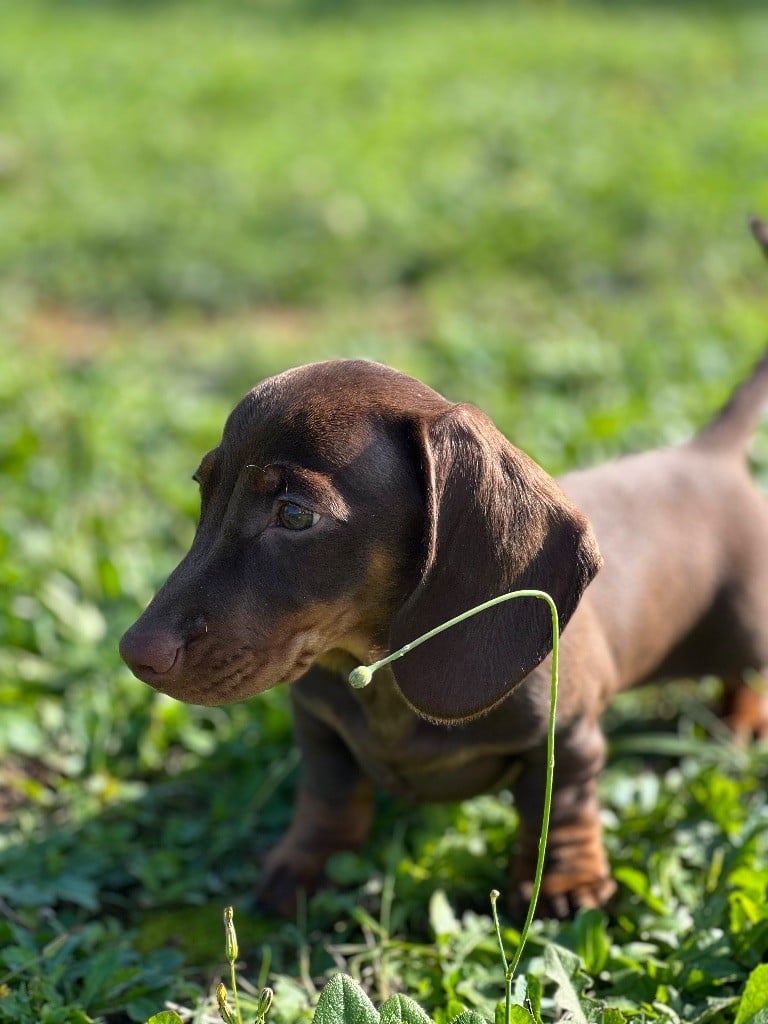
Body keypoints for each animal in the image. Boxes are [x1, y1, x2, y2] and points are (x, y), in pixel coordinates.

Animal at [118, 356, 768, 917]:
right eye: (203, 488)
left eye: (296, 514)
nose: (134, 653)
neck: (375, 672)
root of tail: (706, 454)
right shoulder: (317, 723)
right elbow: (329, 794)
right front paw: (305, 860)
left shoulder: (569, 737)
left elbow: (559, 810)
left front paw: (567, 881)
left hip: (745, 630)